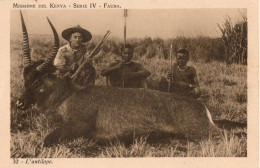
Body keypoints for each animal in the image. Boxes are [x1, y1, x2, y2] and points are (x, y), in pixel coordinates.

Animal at [16, 11, 223, 146]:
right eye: (25, 78)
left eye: (37, 81)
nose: (19, 103)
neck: (67, 95)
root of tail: (201, 106)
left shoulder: (78, 124)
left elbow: (46, 140)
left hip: (202, 132)